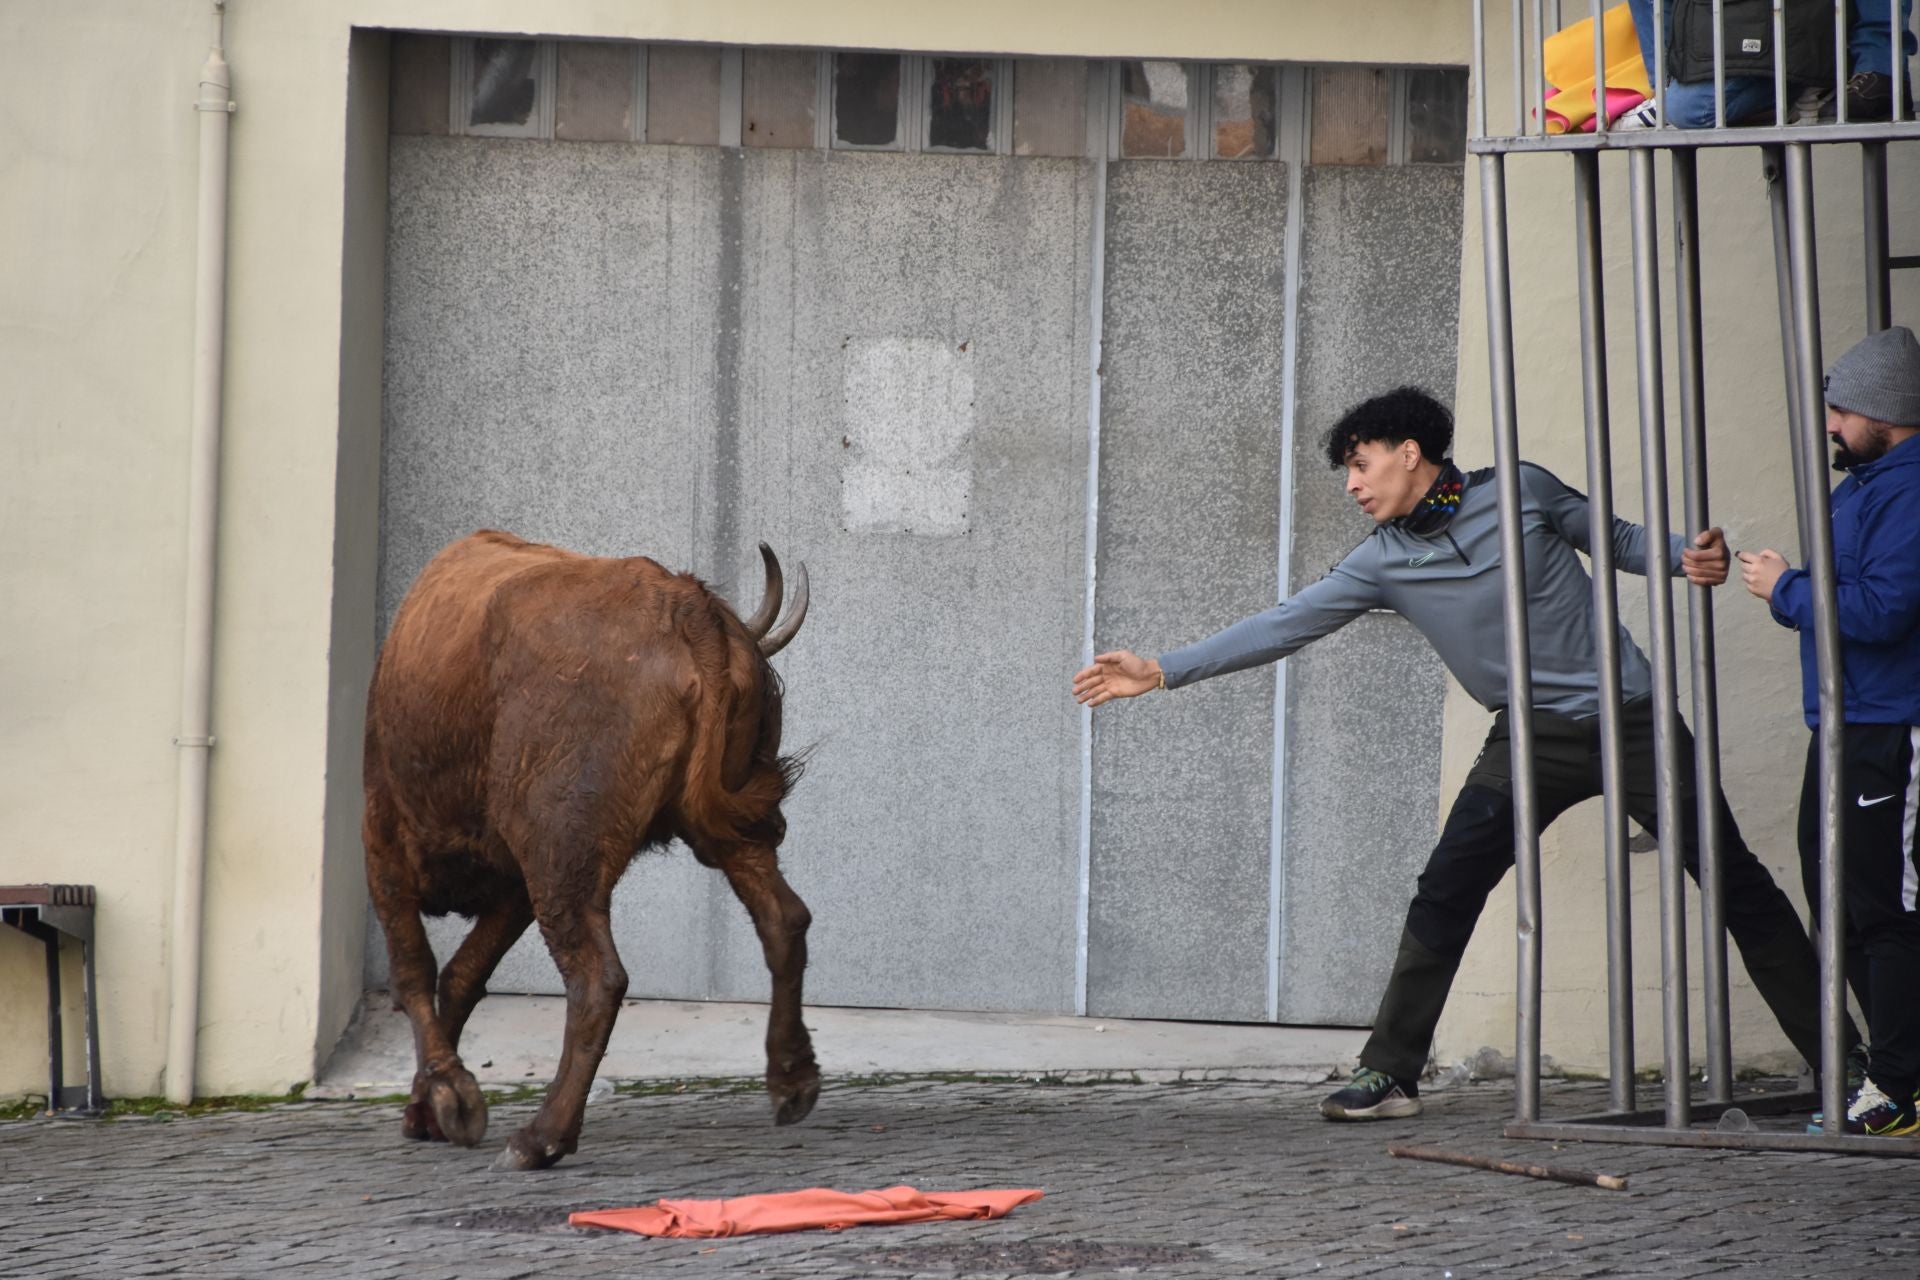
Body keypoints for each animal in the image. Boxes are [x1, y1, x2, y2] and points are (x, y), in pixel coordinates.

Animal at [360, 529, 817, 1174]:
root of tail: (684, 604)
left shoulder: (385, 841)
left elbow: (416, 973)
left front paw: (449, 1101)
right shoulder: (516, 886)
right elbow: (462, 975)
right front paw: (428, 1107)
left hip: (562, 863)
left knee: (599, 978)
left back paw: (538, 1138)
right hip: (728, 830)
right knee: (783, 919)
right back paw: (792, 1082)